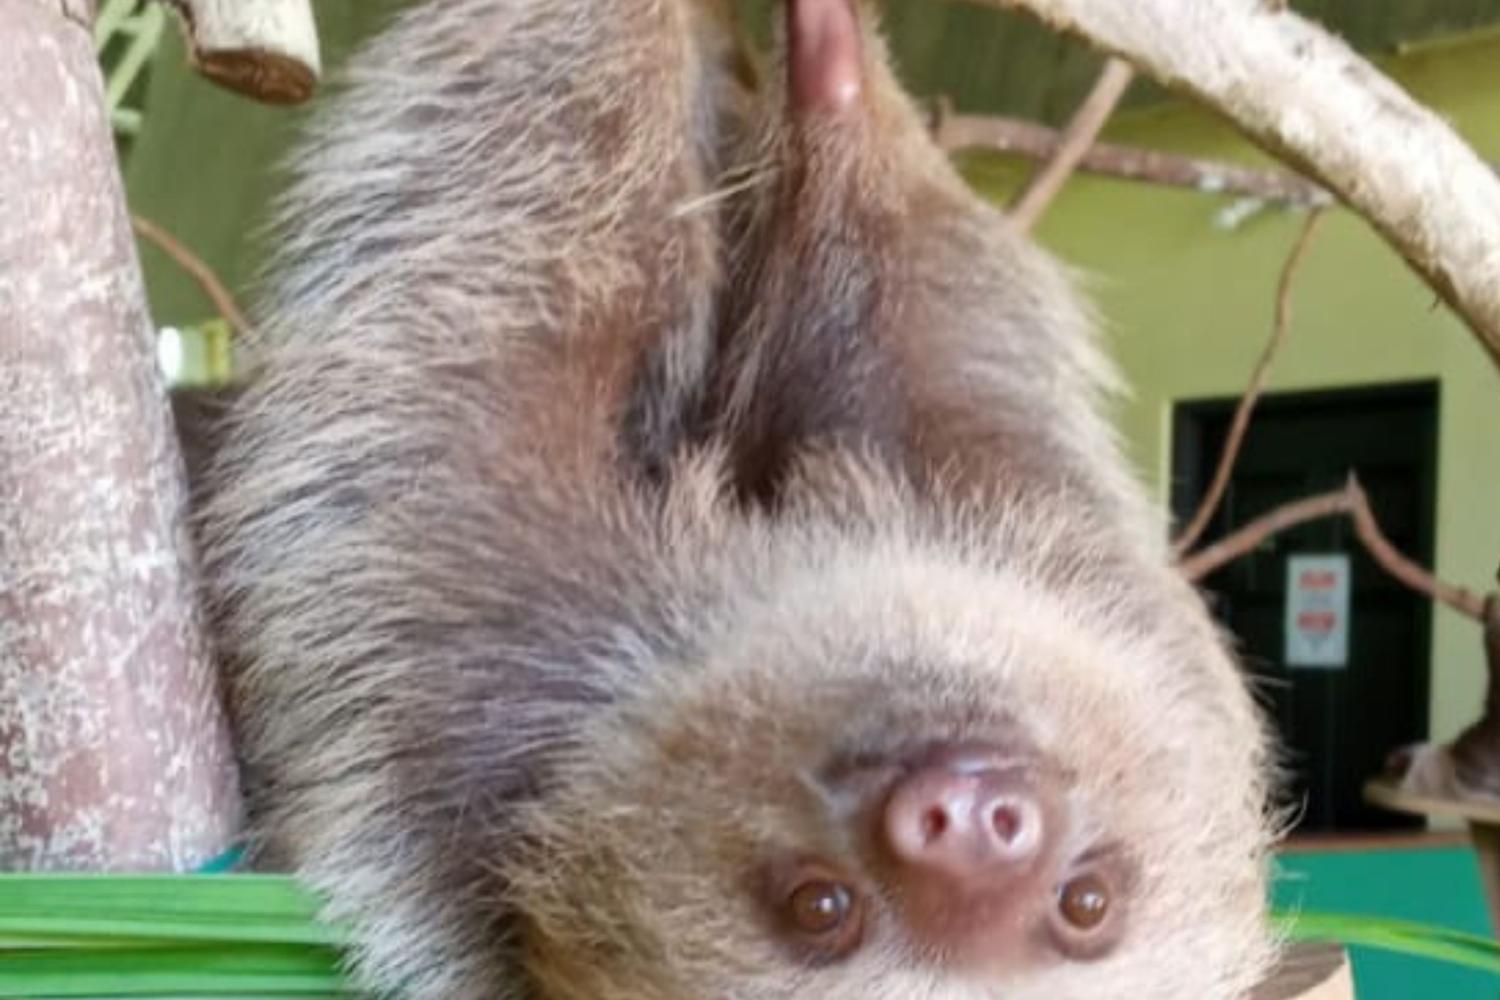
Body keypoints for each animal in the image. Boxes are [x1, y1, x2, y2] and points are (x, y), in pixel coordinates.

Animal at [192, 0, 1282, 998]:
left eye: (1086, 900)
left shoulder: (464, 656)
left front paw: (820, 81)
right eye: (822, 905)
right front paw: (818, 66)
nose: (974, 820)